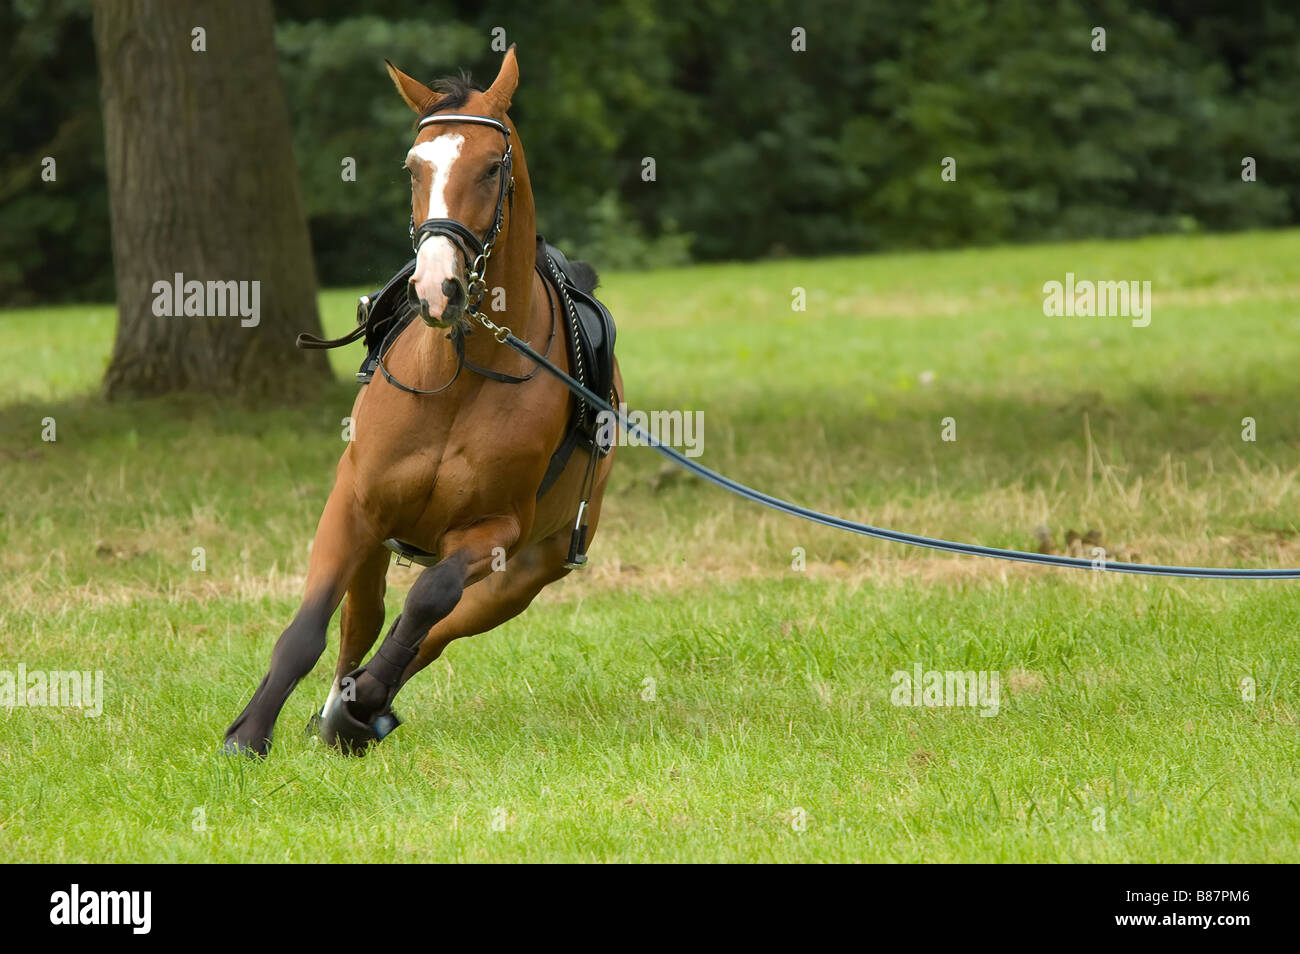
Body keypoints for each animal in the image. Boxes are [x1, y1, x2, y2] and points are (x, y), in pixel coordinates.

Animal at [223, 48, 618, 759]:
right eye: (414, 167)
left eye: (491, 167)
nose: (438, 288)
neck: (458, 378)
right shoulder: (355, 504)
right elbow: (309, 629)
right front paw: (249, 735)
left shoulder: (494, 531)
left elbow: (431, 601)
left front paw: (360, 705)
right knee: (364, 618)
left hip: (527, 575)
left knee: (434, 631)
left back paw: (360, 709)